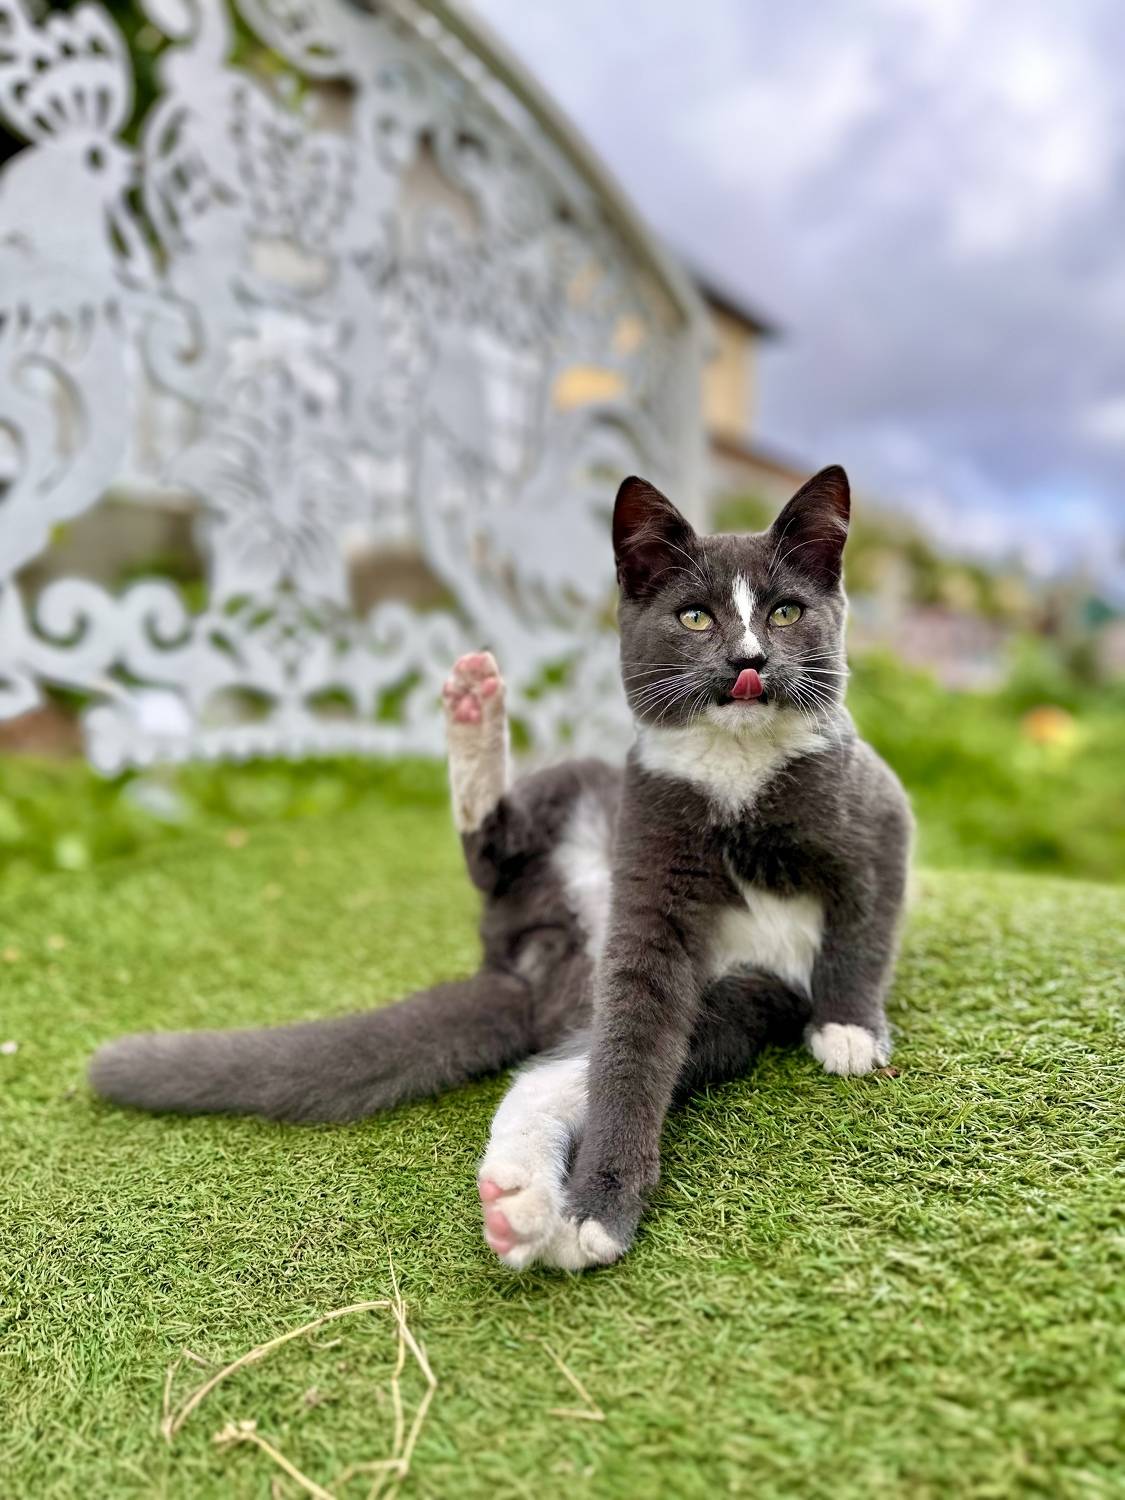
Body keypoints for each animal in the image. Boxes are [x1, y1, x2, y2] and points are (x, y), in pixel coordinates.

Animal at [90, 465, 912, 1271]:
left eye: (784, 612)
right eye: (694, 619)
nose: (749, 662)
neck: (737, 772)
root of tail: (532, 964)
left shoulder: (874, 808)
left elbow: (866, 917)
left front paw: (847, 1027)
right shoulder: (650, 857)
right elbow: (634, 1043)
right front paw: (600, 1211)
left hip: (736, 999)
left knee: (558, 1071)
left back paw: (520, 1202)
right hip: (576, 806)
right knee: (500, 875)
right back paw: (473, 712)